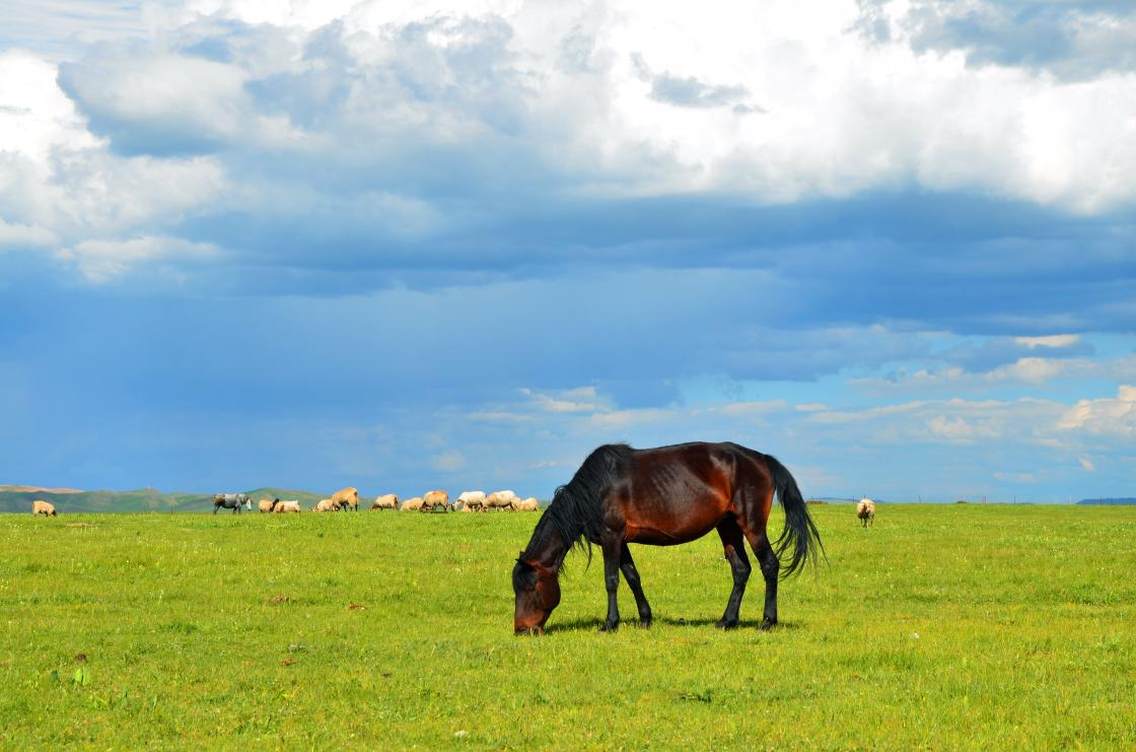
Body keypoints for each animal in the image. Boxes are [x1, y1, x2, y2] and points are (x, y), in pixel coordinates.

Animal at [515, 443, 827, 636]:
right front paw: (645, 618)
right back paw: (727, 621)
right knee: (741, 570)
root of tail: (761, 459)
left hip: (751, 526)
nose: (521, 629)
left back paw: (767, 621)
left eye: (530, 587)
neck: (596, 489)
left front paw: (610, 623)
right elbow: (632, 576)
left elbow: (612, 580)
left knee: (769, 566)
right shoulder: (621, 541)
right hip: (727, 527)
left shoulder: (611, 537)